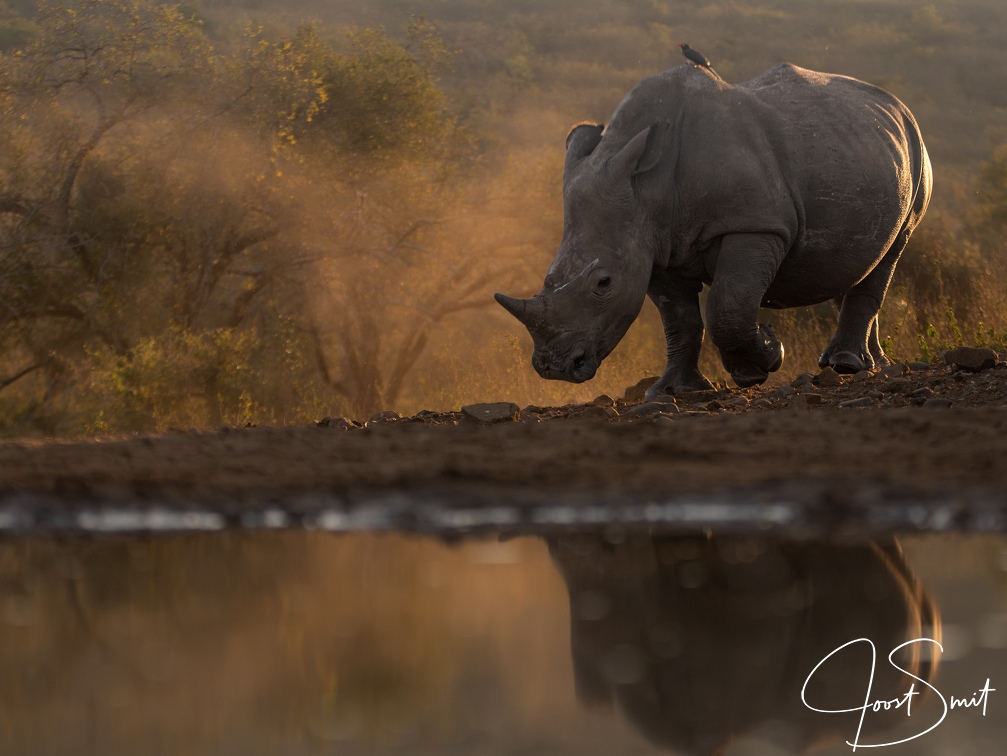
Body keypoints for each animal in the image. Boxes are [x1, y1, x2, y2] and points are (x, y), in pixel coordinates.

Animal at [496, 63, 932, 394]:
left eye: (604, 283)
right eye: (550, 278)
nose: (554, 368)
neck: (648, 186)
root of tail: (896, 105)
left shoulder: (753, 225)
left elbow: (729, 305)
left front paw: (763, 360)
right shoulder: (654, 247)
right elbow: (680, 320)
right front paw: (672, 391)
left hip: (916, 153)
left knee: (893, 248)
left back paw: (846, 366)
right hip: (862, 147)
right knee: (860, 260)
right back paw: (872, 364)